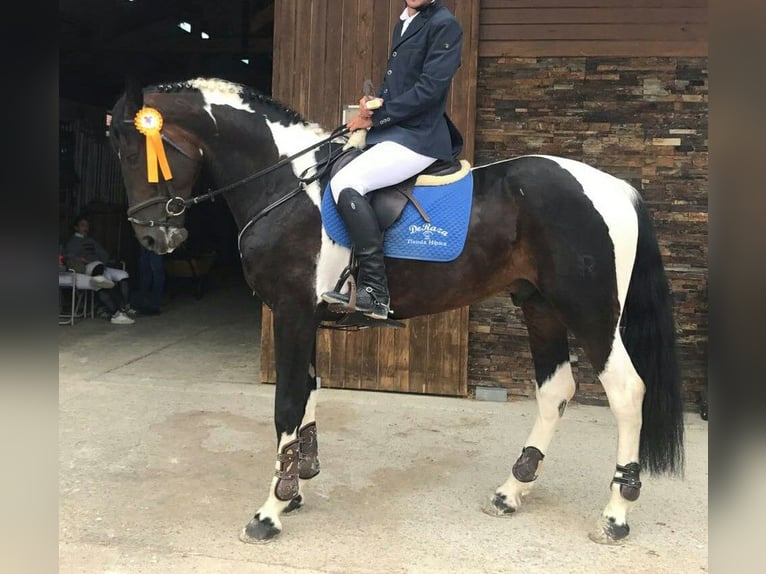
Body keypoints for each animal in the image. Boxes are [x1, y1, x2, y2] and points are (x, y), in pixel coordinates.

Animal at [108, 77, 684, 545]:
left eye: (136, 152)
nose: (154, 237)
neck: (287, 184)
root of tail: (615, 187)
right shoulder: (306, 317)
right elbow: (309, 392)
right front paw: (297, 484)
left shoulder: (291, 312)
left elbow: (287, 403)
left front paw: (270, 510)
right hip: (539, 305)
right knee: (556, 390)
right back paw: (510, 492)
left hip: (590, 311)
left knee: (625, 392)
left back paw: (615, 515)